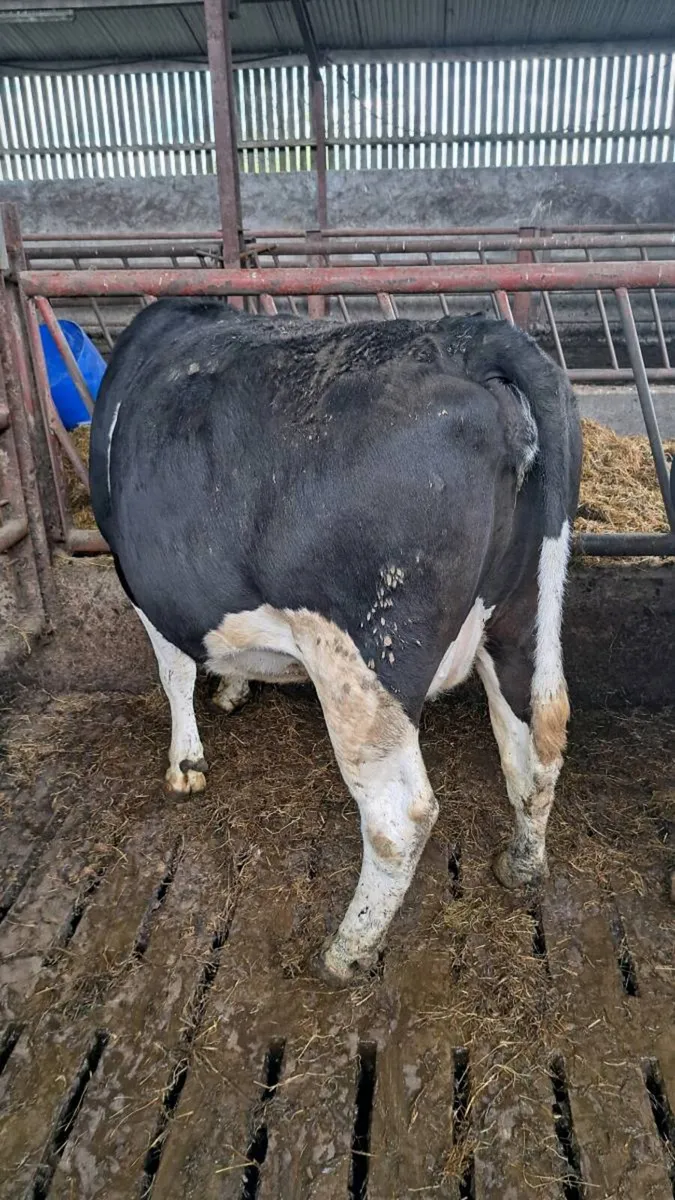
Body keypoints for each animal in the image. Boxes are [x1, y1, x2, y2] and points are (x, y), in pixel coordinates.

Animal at [90, 298, 582, 982]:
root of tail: (473, 334)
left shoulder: (142, 582)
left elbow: (175, 671)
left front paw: (186, 763)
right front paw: (234, 687)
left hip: (364, 659)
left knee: (400, 816)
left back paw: (346, 951)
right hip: (525, 609)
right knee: (537, 736)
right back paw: (522, 864)